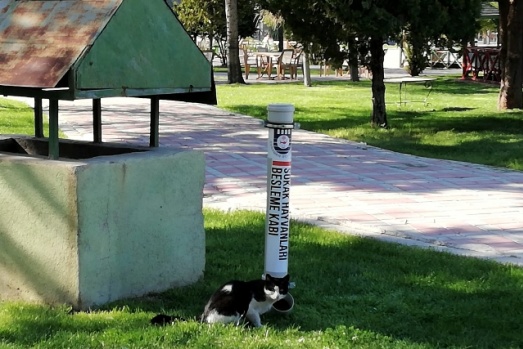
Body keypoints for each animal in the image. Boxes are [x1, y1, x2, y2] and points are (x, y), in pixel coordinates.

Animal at [151, 274, 290, 328]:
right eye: (272, 289)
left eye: (282, 290)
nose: (277, 296)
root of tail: (203, 316)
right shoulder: (250, 308)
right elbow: (256, 317)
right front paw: (260, 326)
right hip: (235, 308)